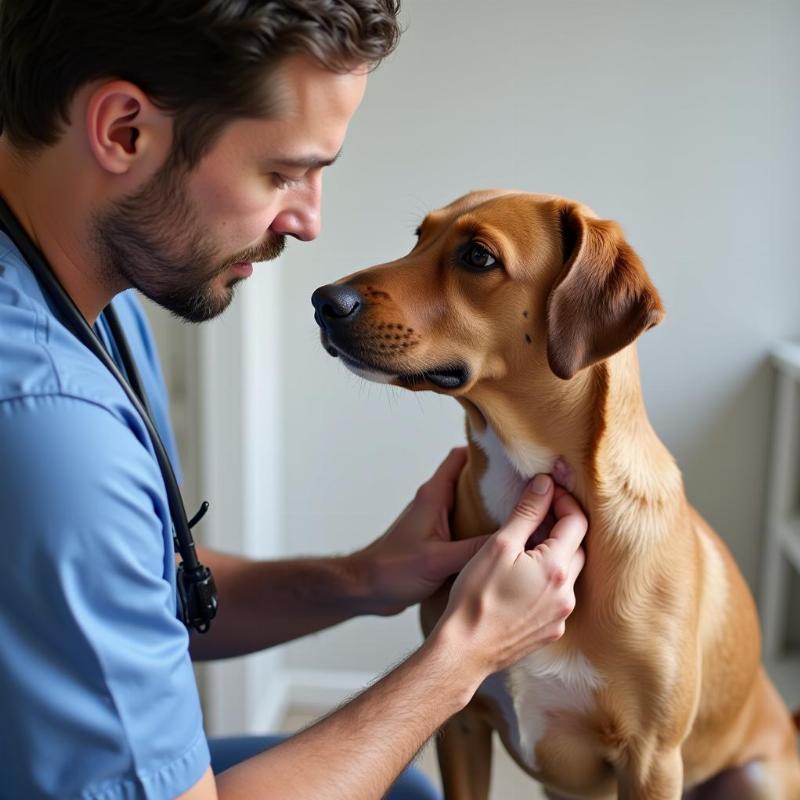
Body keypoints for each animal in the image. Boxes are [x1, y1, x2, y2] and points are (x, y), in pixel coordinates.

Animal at [312, 191, 800, 796]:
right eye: (419, 237)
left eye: (478, 256)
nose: (323, 301)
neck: (524, 469)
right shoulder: (461, 721)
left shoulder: (652, 760)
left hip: (755, 775)